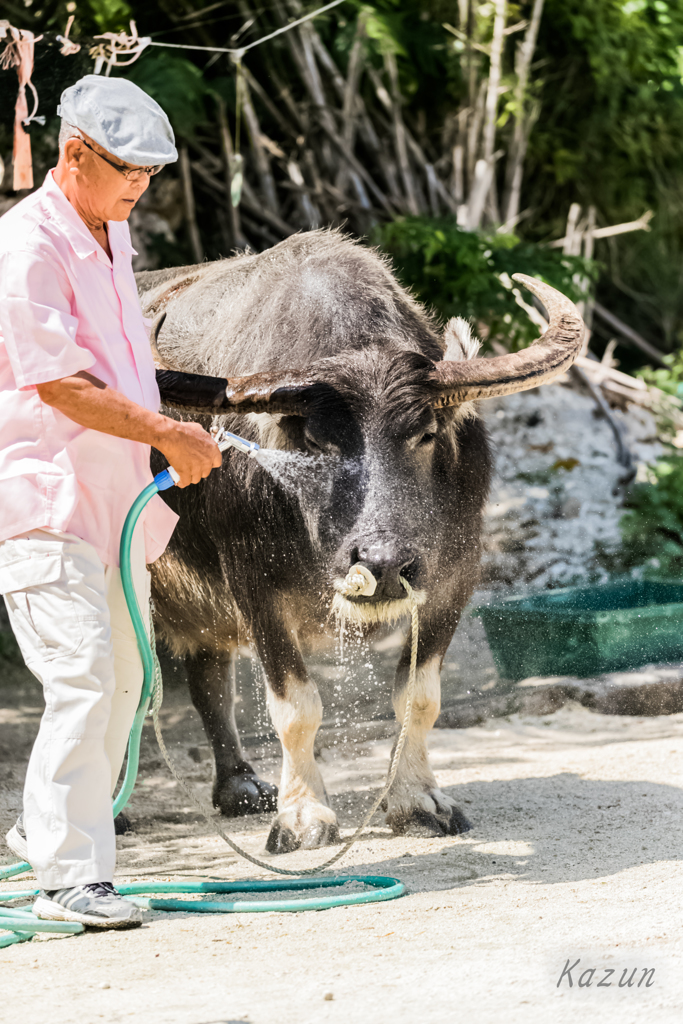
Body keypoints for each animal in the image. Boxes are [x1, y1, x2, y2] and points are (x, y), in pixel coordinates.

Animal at [136, 232, 585, 856]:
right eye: (317, 441)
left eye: (424, 434)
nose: (384, 564)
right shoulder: (253, 583)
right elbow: (295, 706)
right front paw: (304, 819)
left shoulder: (455, 575)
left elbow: (419, 696)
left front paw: (418, 800)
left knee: (208, 675)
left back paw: (240, 788)